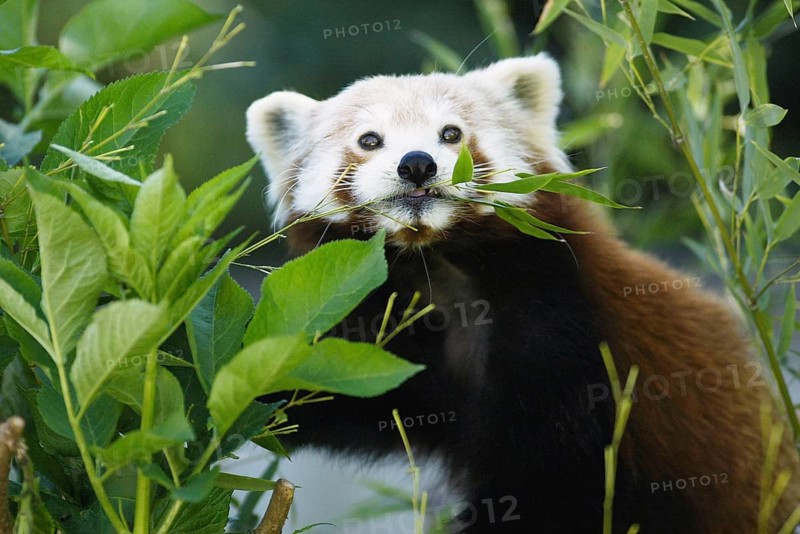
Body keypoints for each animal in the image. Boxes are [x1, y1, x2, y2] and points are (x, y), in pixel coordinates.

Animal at [245, 55, 800, 532]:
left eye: (451, 133)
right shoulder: (392, 335)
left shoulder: (565, 326)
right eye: (369, 139)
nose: (417, 164)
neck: (442, 268)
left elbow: (546, 487)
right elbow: (344, 389)